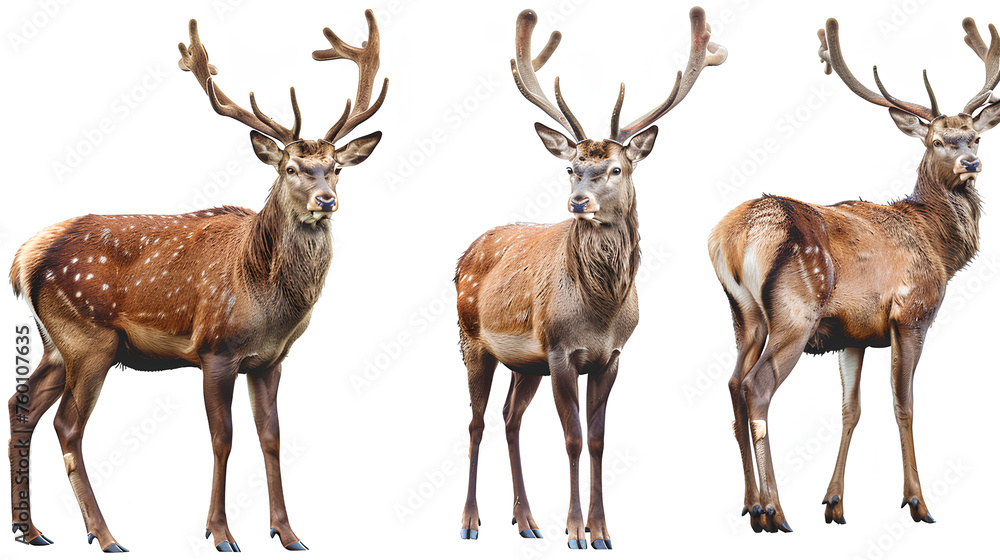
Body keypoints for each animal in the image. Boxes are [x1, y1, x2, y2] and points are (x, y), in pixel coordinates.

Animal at [7, 11, 387, 553]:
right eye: (291, 168)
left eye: (335, 168)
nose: (326, 200)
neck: (265, 298)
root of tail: (26, 256)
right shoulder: (215, 349)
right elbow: (222, 438)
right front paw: (221, 533)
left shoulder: (270, 360)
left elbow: (271, 437)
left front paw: (288, 532)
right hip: (88, 338)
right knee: (66, 424)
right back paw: (105, 535)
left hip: (55, 344)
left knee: (22, 407)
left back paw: (31, 529)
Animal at [457, 7, 725, 550]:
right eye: (572, 167)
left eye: (617, 168)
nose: (578, 202)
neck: (600, 312)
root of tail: (464, 254)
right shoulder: (561, 350)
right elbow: (574, 438)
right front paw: (577, 530)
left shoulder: (611, 356)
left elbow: (599, 440)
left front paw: (603, 531)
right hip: (472, 340)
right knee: (475, 423)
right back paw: (471, 522)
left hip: (524, 363)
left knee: (510, 418)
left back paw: (526, 521)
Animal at [708, 16, 1000, 533]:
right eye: (937, 141)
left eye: (976, 136)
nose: (971, 163)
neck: (941, 249)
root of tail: (732, 236)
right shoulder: (911, 314)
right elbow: (903, 404)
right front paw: (917, 502)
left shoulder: (854, 335)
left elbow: (850, 410)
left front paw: (835, 502)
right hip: (795, 313)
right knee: (756, 387)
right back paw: (774, 510)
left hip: (744, 316)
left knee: (731, 384)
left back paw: (750, 505)